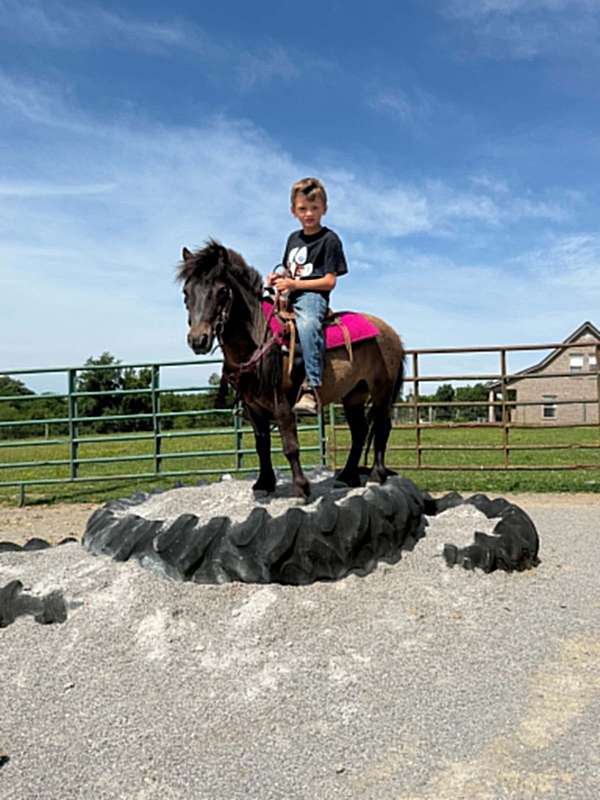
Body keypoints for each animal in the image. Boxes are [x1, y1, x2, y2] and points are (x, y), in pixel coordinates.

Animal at [177, 240, 404, 499]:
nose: (198, 340)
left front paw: (301, 487)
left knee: (382, 428)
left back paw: (376, 474)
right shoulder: (253, 407)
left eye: (222, 291)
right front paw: (264, 483)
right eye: (186, 292)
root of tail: (392, 334)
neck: (260, 336)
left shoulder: (284, 403)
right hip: (354, 394)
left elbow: (290, 445)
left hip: (382, 391)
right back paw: (347, 476)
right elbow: (262, 444)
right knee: (360, 431)